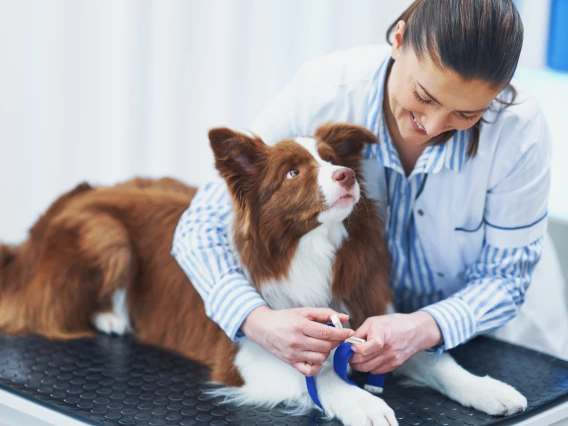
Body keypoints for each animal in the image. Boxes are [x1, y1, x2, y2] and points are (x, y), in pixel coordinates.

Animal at [0, 123, 524, 426]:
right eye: (293, 172)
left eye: (336, 159)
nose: (346, 176)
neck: (308, 249)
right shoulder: (244, 353)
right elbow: (316, 376)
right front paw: (361, 402)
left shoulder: (367, 320)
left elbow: (435, 360)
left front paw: (487, 387)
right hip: (106, 234)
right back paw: (112, 317)